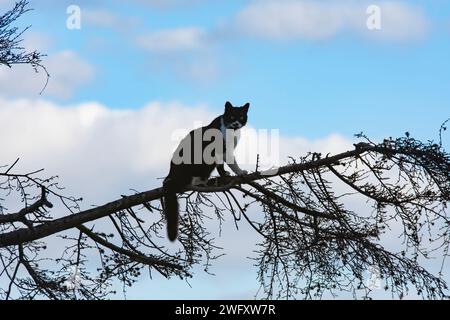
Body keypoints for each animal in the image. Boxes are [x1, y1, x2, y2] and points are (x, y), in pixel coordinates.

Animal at [163, 101, 251, 241]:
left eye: (241, 117)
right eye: (232, 116)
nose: (236, 123)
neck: (232, 132)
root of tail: (170, 174)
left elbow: (221, 166)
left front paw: (224, 174)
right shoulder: (223, 150)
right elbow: (232, 163)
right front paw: (240, 172)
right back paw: (202, 181)